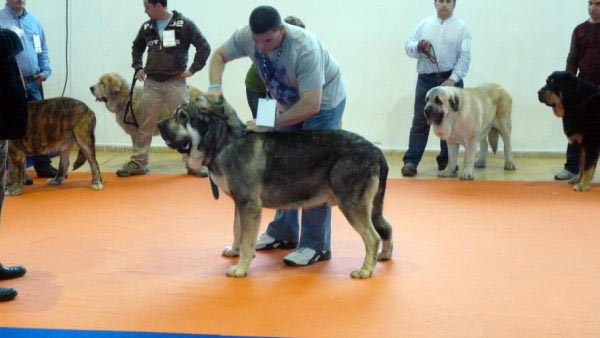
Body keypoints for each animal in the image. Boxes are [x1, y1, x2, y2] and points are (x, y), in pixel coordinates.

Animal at [156, 96, 394, 278]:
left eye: (182, 116)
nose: (159, 124)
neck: (224, 142)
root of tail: (376, 151)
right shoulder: (240, 203)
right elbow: (237, 229)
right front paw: (235, 251)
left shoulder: (249, 204)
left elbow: (246, 238)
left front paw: (241, 268)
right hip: (371, 207)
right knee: (386, 227)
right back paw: (384, 256)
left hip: (352, 204)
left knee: (372, 237)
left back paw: (365, 270)